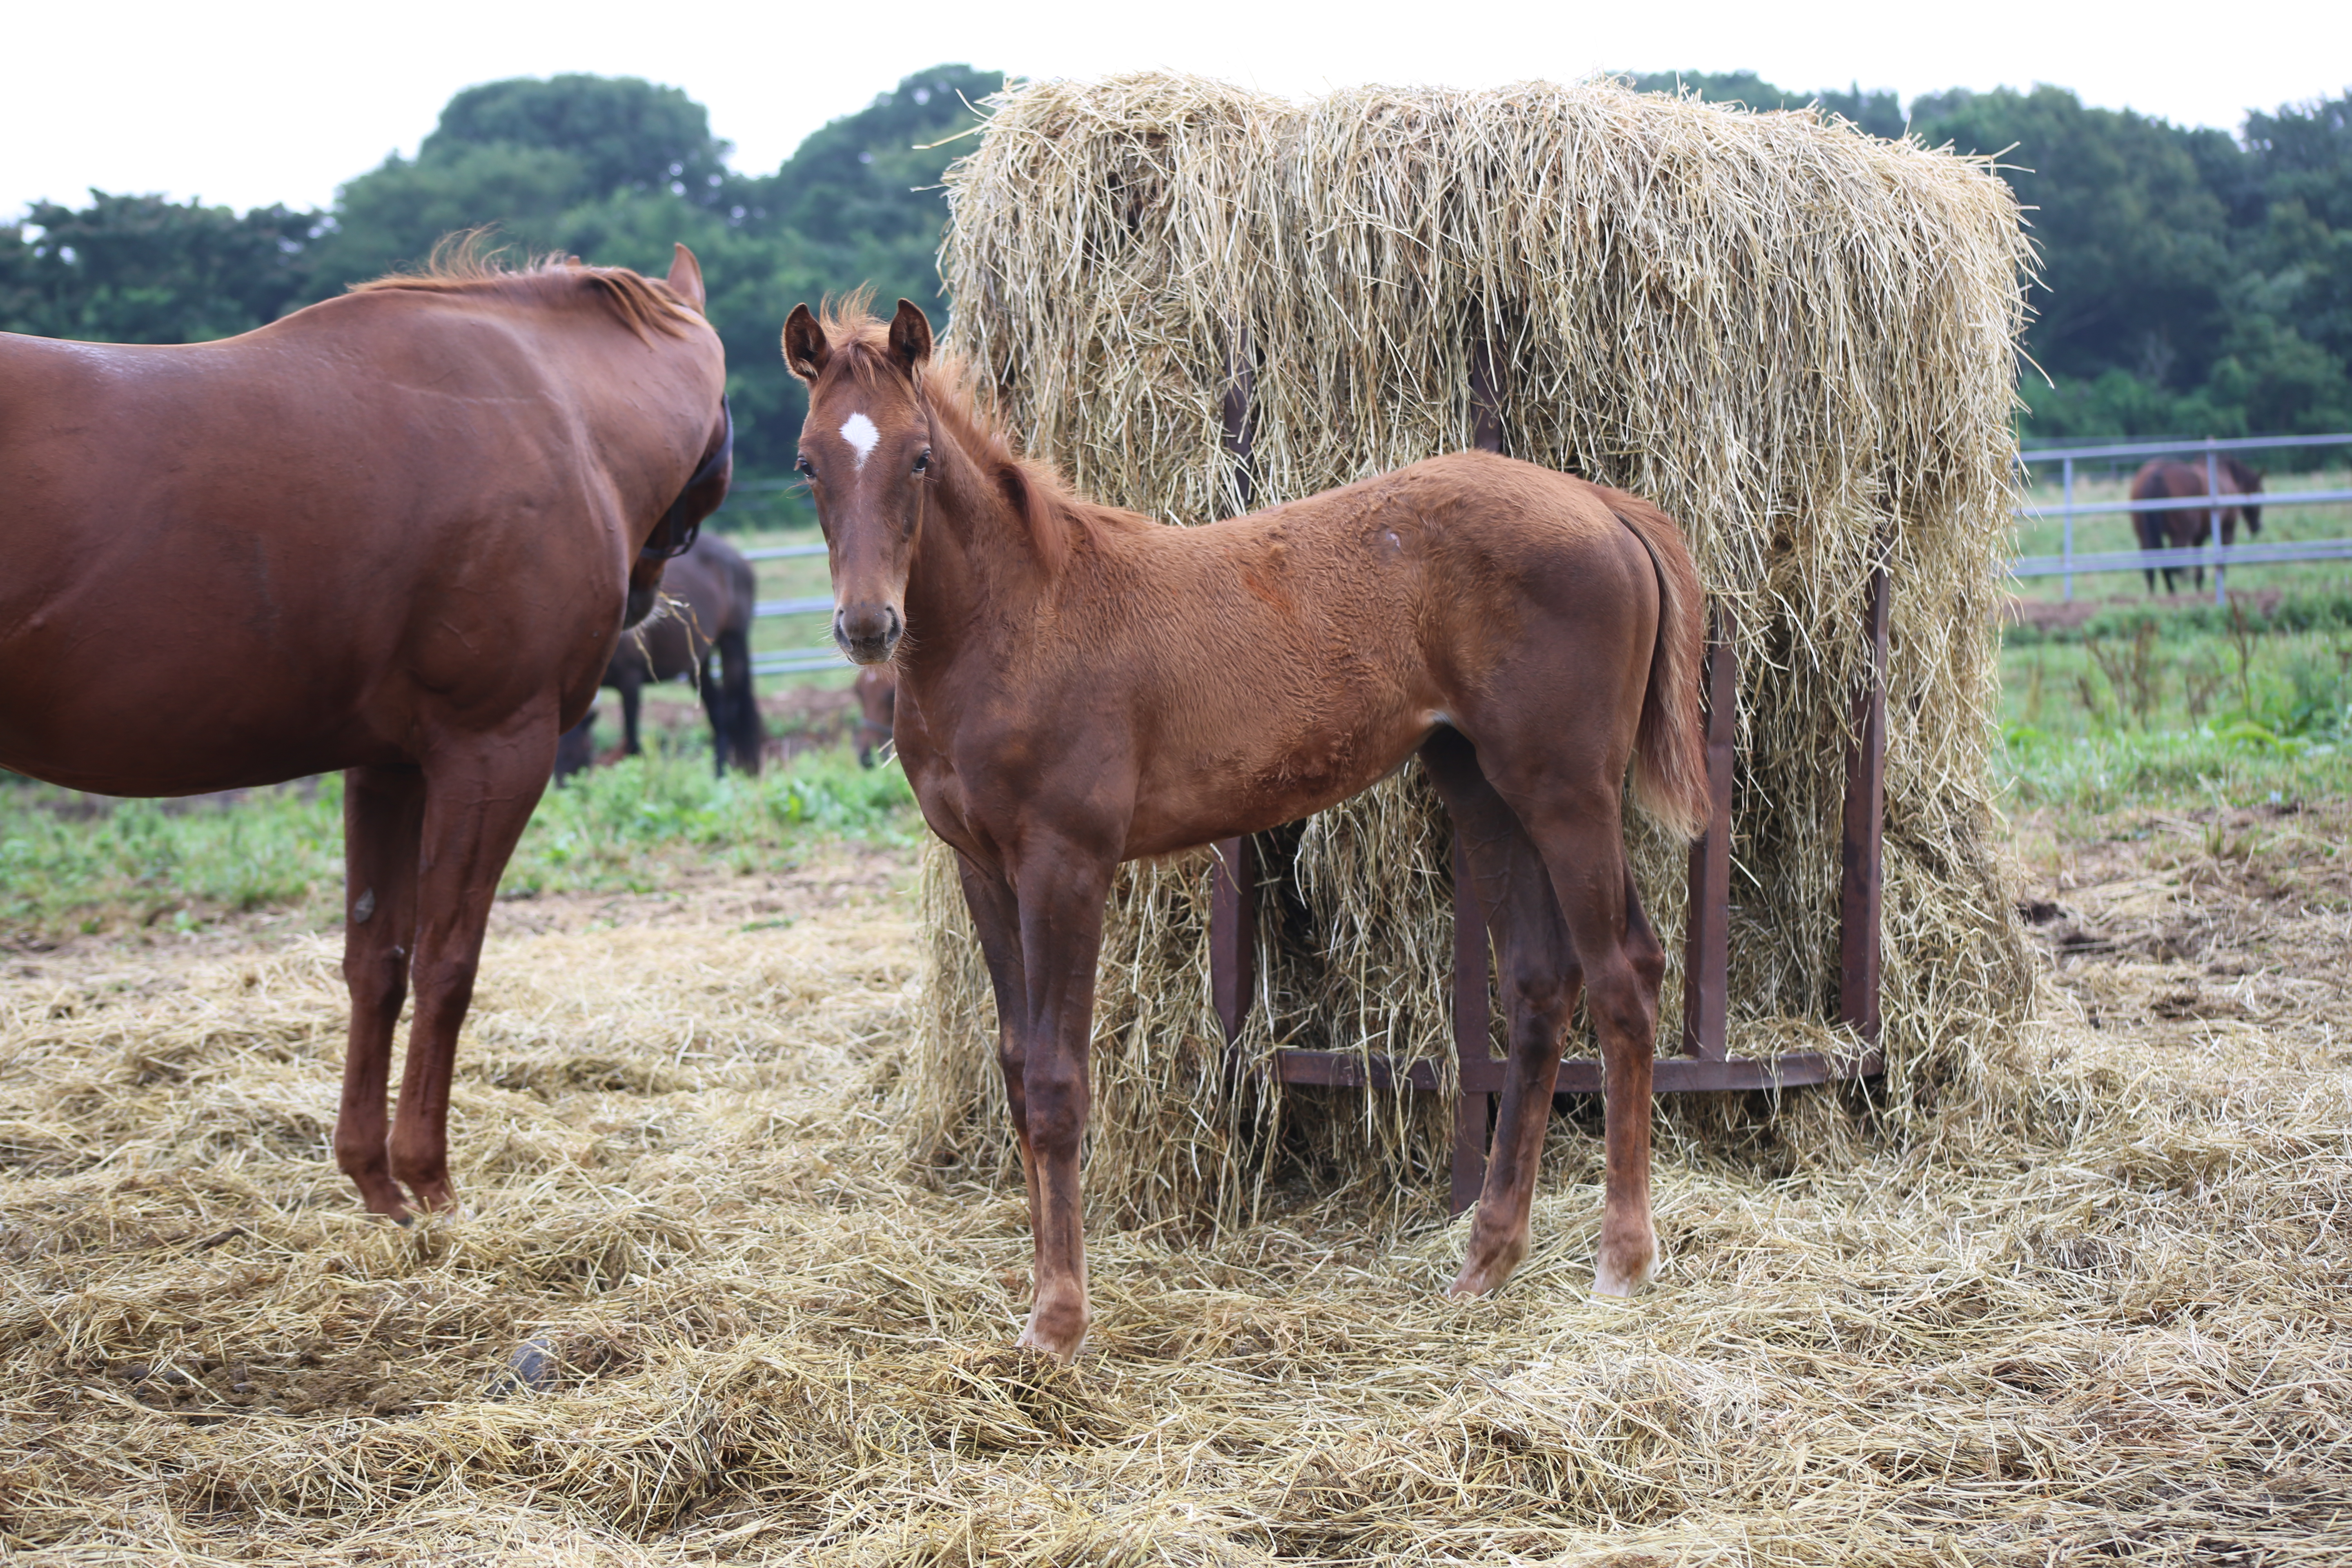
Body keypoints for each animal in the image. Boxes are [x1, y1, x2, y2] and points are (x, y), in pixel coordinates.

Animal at [0, 248, 729, 1222]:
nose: (647, 591)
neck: (549, 407)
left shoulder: (389, 766)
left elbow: (376, 960)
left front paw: (375, 1181)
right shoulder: (492, 751)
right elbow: (448, 963)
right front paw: (432, 1180)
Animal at [550, 526, 762, 780]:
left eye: (581, 749)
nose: (567, 785)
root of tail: (739, 559)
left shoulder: (630, 681)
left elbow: (632, 742)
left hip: (733, 643)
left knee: (730, 711)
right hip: (699, 661)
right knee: (717, 712)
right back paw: (718, 774)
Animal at [790, 297, 1712, 1363]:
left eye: (919, 458)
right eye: (809, 462)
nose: (867, 625)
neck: (1020, 619)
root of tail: (1602, 504)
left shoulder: (1066, 863)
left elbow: (1059, 1083)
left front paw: (1060, 1321)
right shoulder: (982, 867)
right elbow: (1019, 1072)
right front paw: (1037, 1301)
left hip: (1566, 789)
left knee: (1623, 977)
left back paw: (1622, 1260)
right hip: (1482, 785)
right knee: (1537, 983)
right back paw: (1485, 1262)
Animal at [2136, 461, 2258, 601]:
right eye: (2259, 489)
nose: (2257, 527)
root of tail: (2158, 474)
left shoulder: (2198, 537)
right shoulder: (2225, 531)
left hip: (2144, 536)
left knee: (2152, 567)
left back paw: (2157, 595)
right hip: (2180, 537)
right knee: (2172, 565)